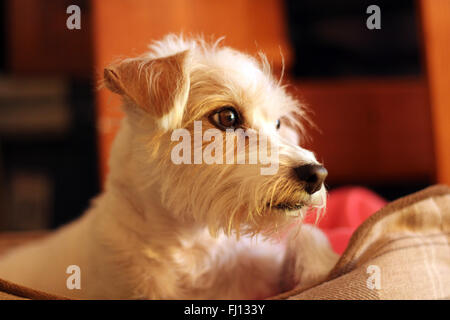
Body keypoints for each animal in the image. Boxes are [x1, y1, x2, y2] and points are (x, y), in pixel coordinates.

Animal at [0, 35, 338, 300]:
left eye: (278, 123)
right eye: (227, 117)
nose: (316, 175)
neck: (191, 244)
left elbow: (309, 237)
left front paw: (321, 266)